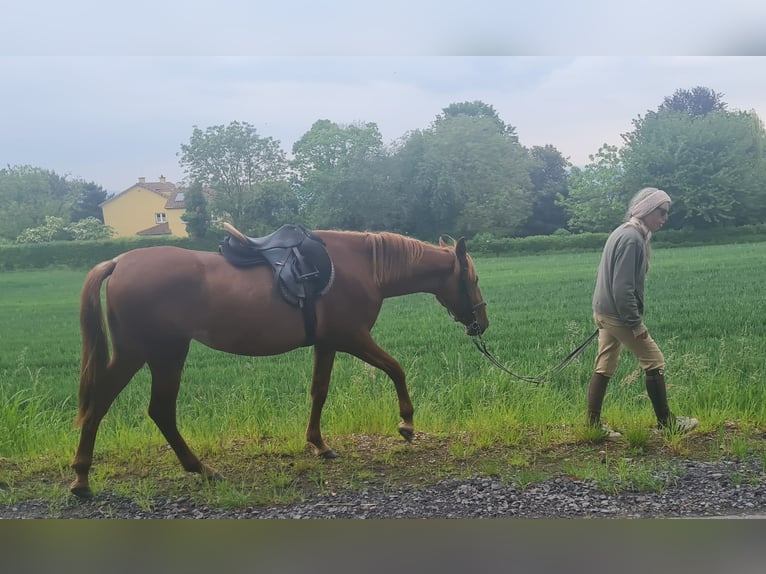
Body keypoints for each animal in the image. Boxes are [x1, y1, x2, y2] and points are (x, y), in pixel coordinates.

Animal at [69, 228, 488, 500]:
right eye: (473, 278)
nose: (481, 323)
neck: (363, 267)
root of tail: (119, 262)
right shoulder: (353, 338)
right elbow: (396, 368)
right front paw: (406, 422)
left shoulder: (328, 343)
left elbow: (319, 391)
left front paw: (318, 444)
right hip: (155, 353)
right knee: (133, 407)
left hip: (152, 354)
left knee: (136, 408)